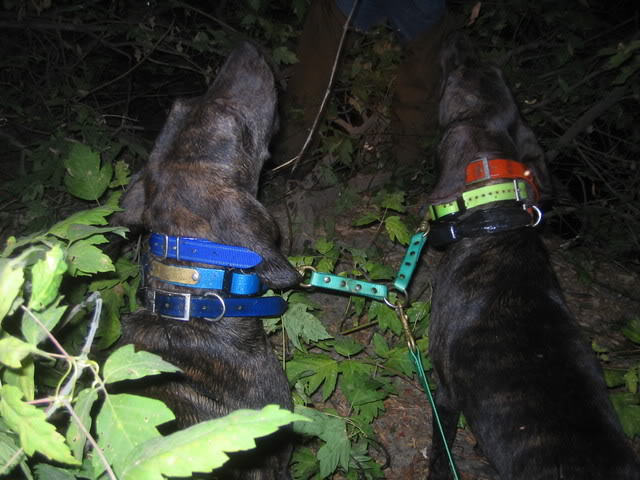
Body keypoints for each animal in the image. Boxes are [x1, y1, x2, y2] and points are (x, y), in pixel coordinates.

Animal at [424, 33, 640, 480]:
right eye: (494, 70)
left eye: (460, 73)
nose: (458, 36)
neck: (497, 219)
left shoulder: (446, 392)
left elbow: (440, 455)